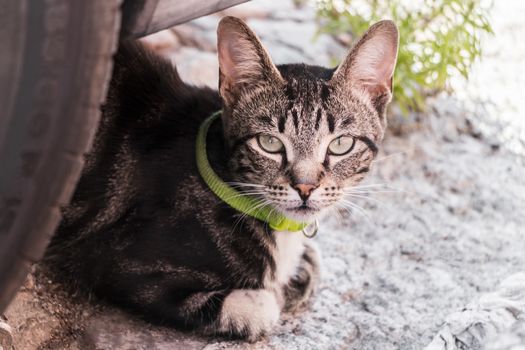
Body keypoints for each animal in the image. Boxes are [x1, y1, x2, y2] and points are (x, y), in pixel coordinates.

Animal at [46, 15, 398, 340]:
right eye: (269, 143)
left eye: (341, 144)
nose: (305, 187)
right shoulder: (121, 265)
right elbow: (262, 307)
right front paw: (270, 295)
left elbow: (310, 264)